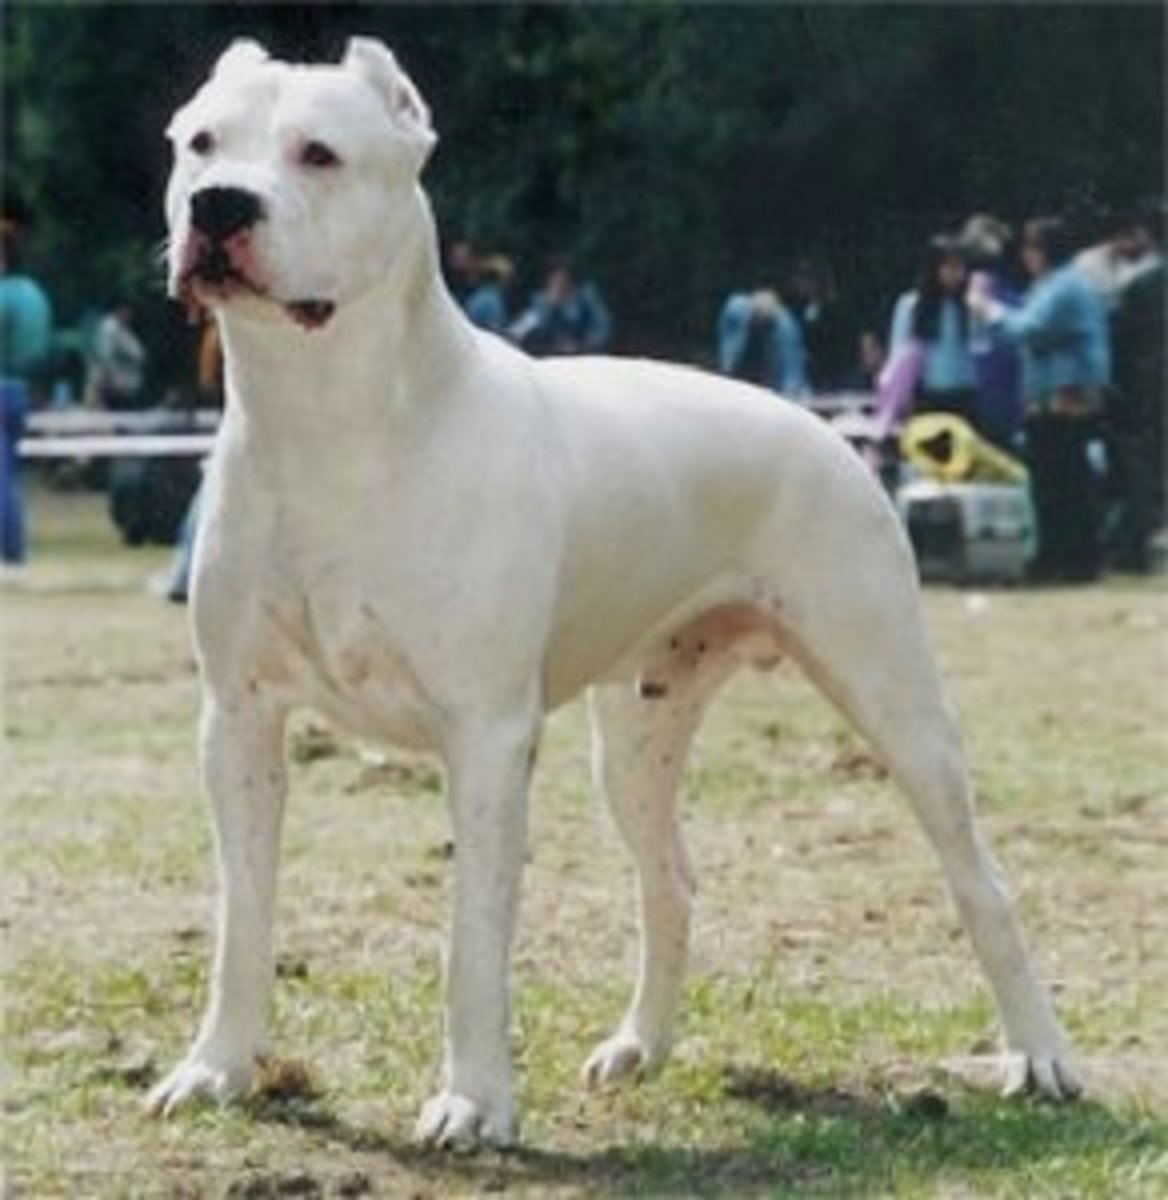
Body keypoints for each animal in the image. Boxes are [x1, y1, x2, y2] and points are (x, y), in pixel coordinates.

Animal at [150, 35, 1080, 1142]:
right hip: (636, 735)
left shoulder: (485, 733)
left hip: (893, 692)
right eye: (201, 144)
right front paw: (218, 1069)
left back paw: (1039, 1057)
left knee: (982, 879)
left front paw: (473, 1102)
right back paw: (641, 1045)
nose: (219, 207)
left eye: (320, 154)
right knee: (668, 878)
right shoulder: (236, 719)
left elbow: (473, 937)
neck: (330, 424)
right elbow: (241, 917)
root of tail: (823, 427)